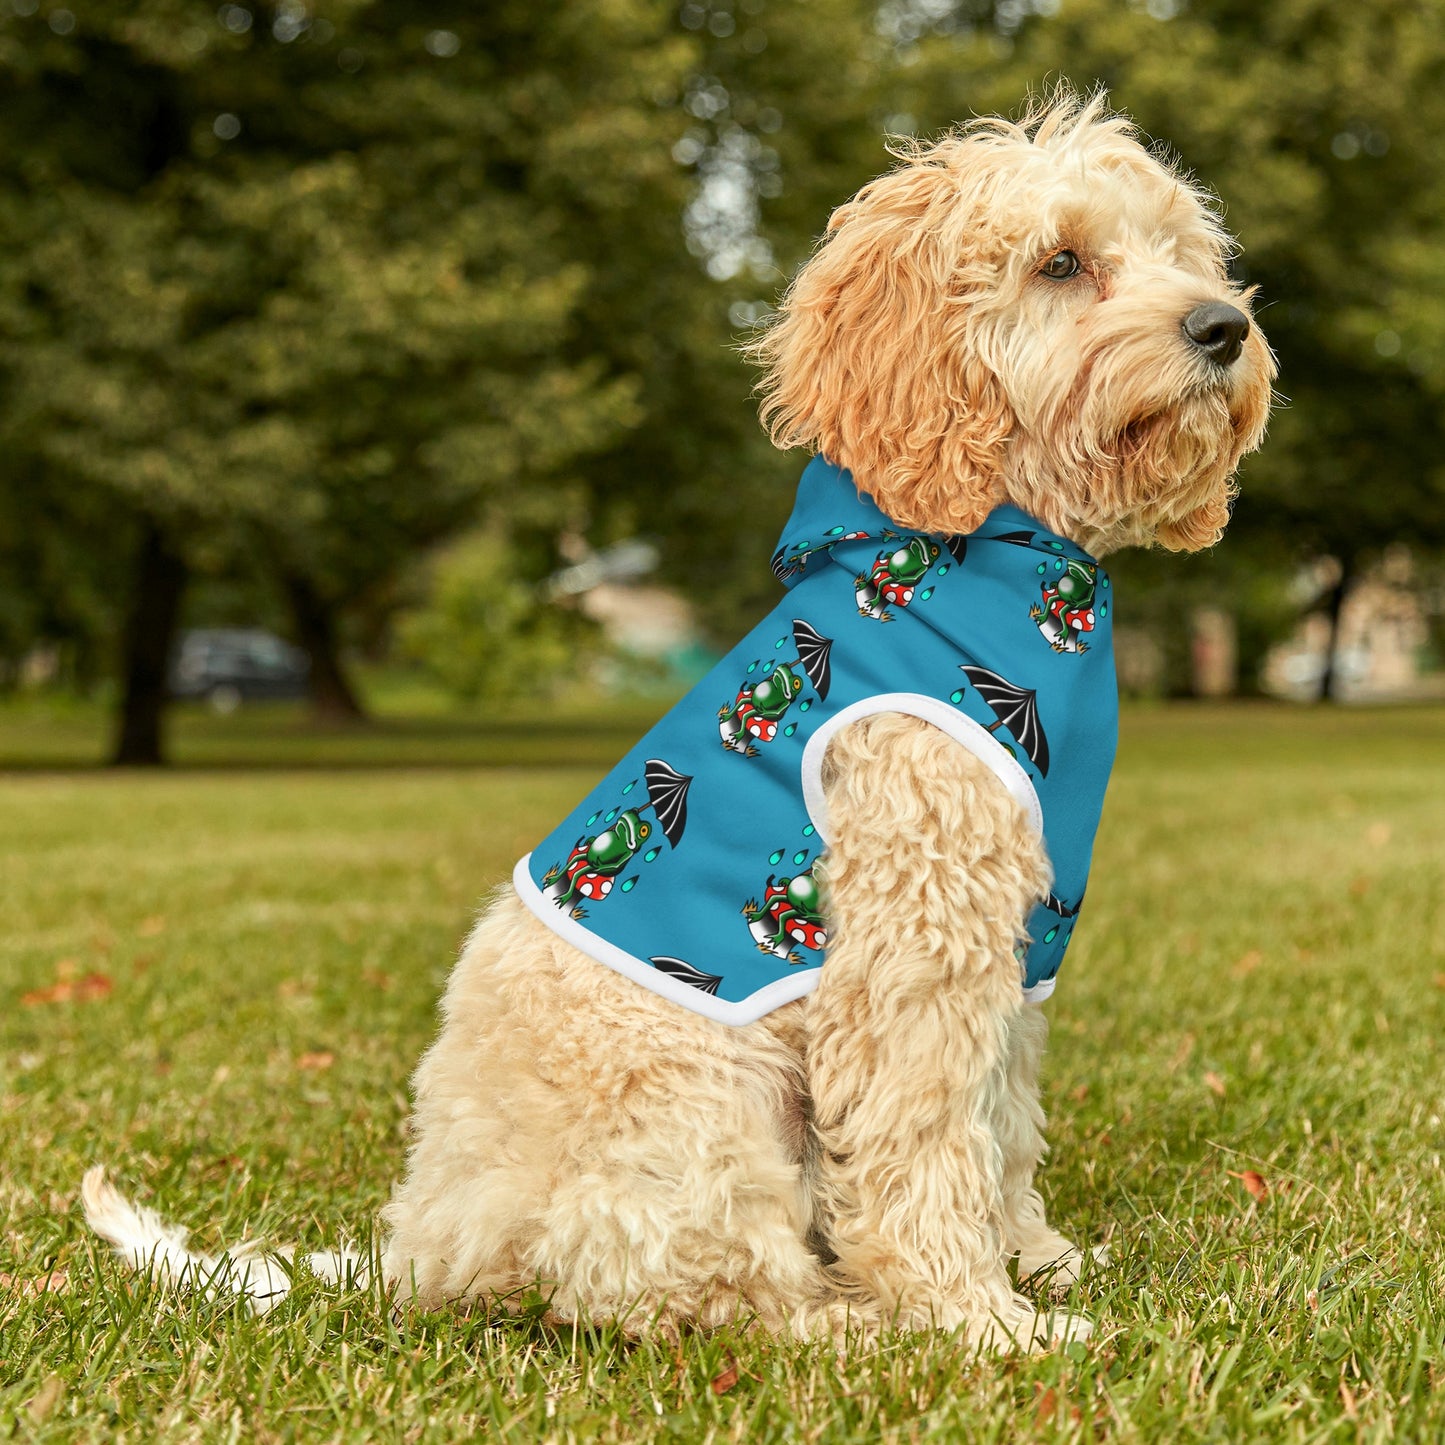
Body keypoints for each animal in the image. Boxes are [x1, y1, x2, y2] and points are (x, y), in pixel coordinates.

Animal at [84, 93, 1271, 1352]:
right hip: (704, 1101)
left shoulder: (1013, 947)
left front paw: (1035, 1260)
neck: (987, 555)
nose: (1222, 327)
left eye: (1180, 253)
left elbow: (999, 1125)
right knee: (700, 1291)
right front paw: (977, 1318)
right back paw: (852, 1322)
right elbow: (924, 1140)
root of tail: (423, 1246)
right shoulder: (912, 944)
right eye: (1060, 262)